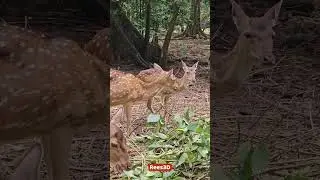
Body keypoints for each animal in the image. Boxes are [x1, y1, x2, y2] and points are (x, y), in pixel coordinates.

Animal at [0, 24, 129, 180]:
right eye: (114, 144)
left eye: (126, 139)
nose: (127, 165)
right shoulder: (64, 120)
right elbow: (60, 174)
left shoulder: (46, 127)